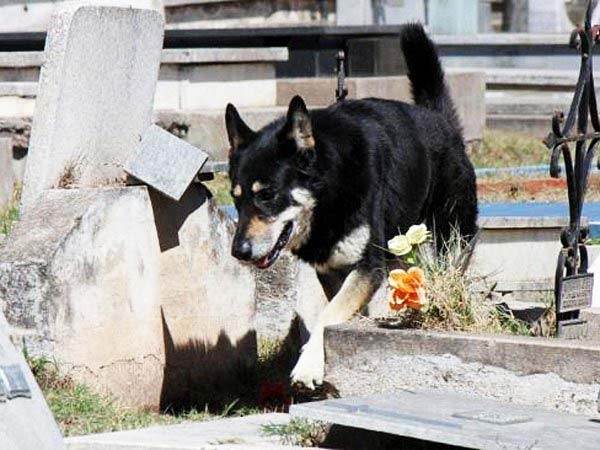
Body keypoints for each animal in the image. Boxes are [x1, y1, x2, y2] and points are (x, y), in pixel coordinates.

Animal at [225, 24, 478, 388]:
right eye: (236, 197)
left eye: (267, 194)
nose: (239, 252)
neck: (329, 191)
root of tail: (439, 119)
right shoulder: (333, 270)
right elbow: (334, 311)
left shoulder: (366, 265)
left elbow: (327, 316)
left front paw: (308, 365)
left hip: (451, 240)